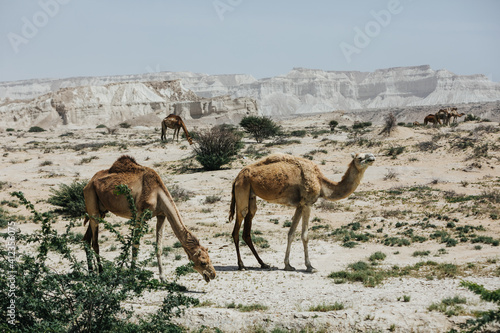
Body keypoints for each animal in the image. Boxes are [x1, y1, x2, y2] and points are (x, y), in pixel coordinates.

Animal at [83, 154, 216, 282]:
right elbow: (135, 245)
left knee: (86, 239)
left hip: (101, 211)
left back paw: (91, 273)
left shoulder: (162, 215)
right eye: (202, 262)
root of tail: (88, 183)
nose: (213, 274)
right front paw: (132, 276)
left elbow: (158, 247)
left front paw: (163, 277)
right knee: (95, 242)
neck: (157, 194)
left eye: (210, 258)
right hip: (92, 202)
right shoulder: (140, 214)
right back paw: (100, 273)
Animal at [229, 152, 374, 272]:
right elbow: (305, 235)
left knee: (247, 229)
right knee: (236, 228)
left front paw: (288, 265)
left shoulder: (299, 205)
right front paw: (310, 266)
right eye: (359, 158)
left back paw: (263, 264)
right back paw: (241, 265)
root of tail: (236, 177)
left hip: (251, 195)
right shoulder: (307, 203)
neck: (320, 182)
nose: (372, 157)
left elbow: (291, 233)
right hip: (242, 190)